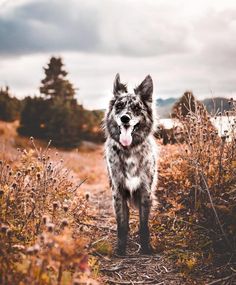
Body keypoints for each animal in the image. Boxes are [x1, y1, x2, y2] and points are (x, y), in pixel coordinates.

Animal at [103, 72, 158, 253]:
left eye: (136, 108)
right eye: (119, 106)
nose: (125, 118)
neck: (130, 150)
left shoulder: (145, 191)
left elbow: (143, 225)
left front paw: (146, 248)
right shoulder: (118, 192)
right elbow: (121, 225)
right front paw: (121, 250)